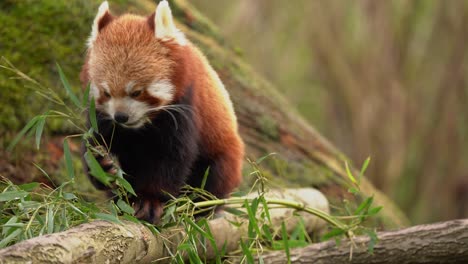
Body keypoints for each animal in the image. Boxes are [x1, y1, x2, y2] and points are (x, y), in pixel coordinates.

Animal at [79, 0, 245, 223]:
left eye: (137, 92)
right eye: (106, 92)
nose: (121, 117)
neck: (141, 126)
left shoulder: (184, 106)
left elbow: (172, 158)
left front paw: (150, 201)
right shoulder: (103, 117)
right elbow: (94, 140)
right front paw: (101, 165)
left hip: (224, 154)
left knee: (214, 177)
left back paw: (198, 208)